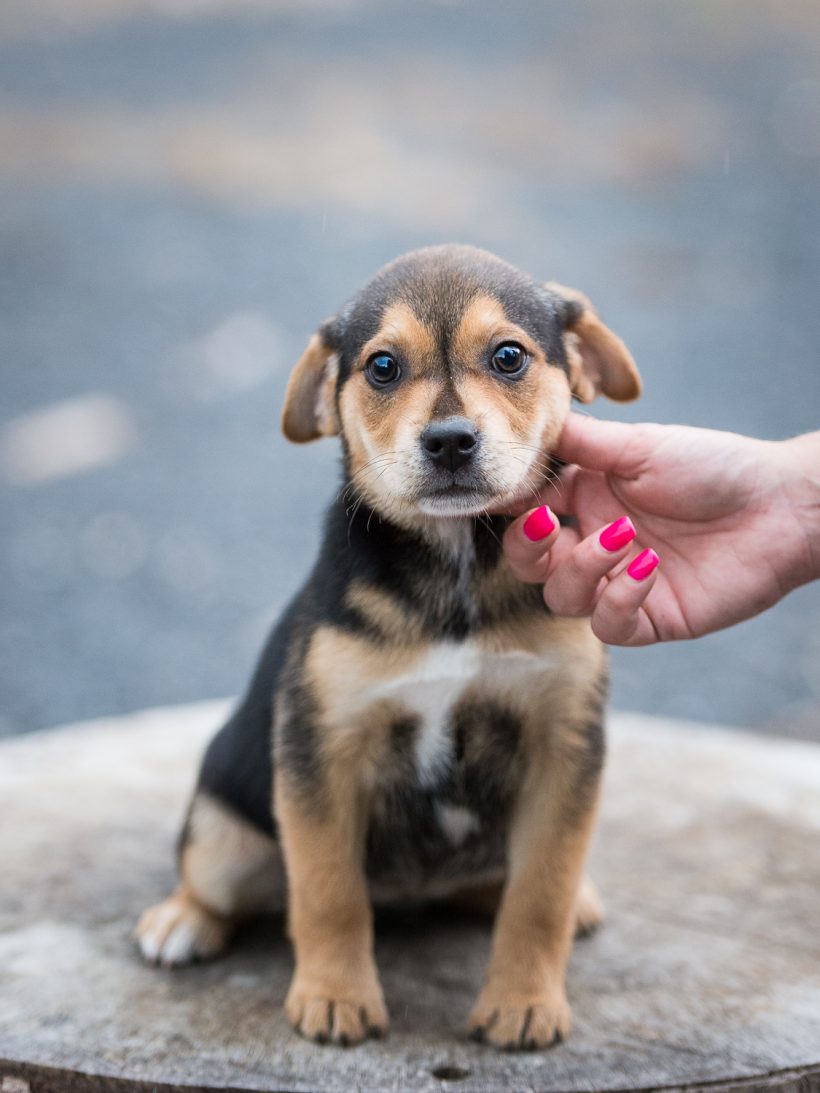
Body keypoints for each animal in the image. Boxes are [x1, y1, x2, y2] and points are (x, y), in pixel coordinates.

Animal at [136, 244, 641, 1050]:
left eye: (508, 356)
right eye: (381, 367)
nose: (450, 441)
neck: (458, 567)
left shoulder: (564, 744)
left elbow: (540, 894)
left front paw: (524, 1002)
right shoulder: (324, 750)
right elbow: (327, 891)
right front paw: (335, 997)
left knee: (500, 884)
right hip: (222, 830)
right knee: (216, 879)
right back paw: (181, 920)